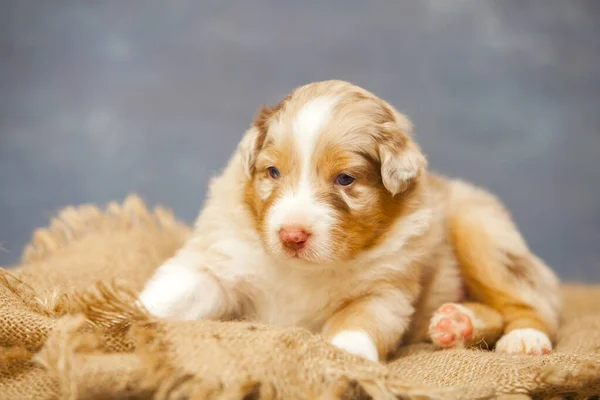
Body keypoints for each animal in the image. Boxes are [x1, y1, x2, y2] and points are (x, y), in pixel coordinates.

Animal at [138, 80, 560, 362]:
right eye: (273, 172)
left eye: (345, 179)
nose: (291, 236)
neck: (304, 270)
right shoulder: (222, 260)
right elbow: (178, 290)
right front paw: (130, 313)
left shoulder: (385, 290)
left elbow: (358, 320)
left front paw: (346, 356)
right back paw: (456, 324)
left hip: (482, 232)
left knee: (530, 300)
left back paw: (524, 339)